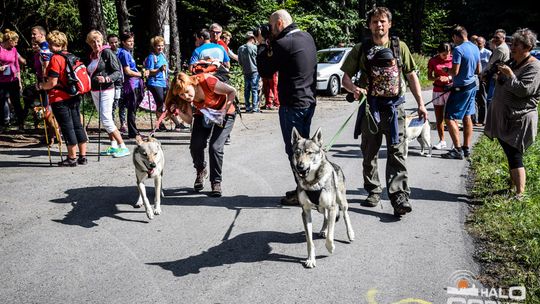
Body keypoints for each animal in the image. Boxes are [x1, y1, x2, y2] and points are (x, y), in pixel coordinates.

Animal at [292, 127, 354, 268]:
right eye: (297, 153)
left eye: (309, 153)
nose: (299, 167)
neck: (312, 183)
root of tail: (334, 164)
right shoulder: (306, 211)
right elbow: (310, 241)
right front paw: (310, 259)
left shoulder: (332, 207)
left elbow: (330, 237)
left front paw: (330, 248)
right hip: (319, 208)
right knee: (325, 217)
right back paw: (323, 230)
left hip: (341, 202)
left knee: (345, 215)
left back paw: (350, 234)